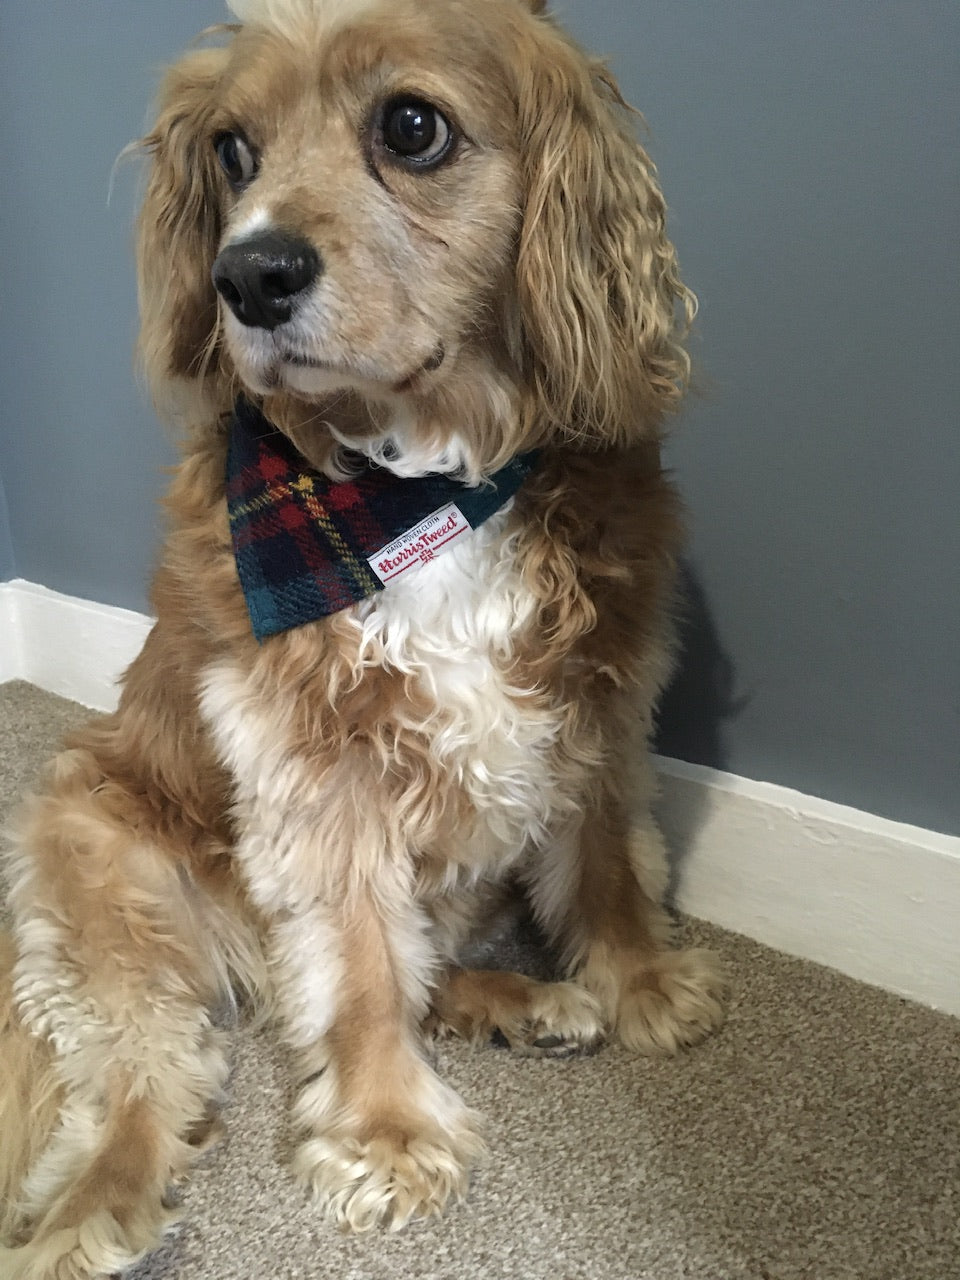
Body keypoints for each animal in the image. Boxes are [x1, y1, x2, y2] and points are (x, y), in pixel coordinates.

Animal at [0, 0, 721, 1274]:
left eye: (412, 127)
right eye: (233, 151)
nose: (247, 272)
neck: (424, 482)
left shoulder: (601, 695)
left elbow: (602, 860)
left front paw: (639, 980)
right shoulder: (314, 771)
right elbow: (363, 969)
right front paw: (387, 1130)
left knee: (409, 971)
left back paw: (526, 1001)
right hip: (101, 878)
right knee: (145, 1081)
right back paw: (85, 1219)